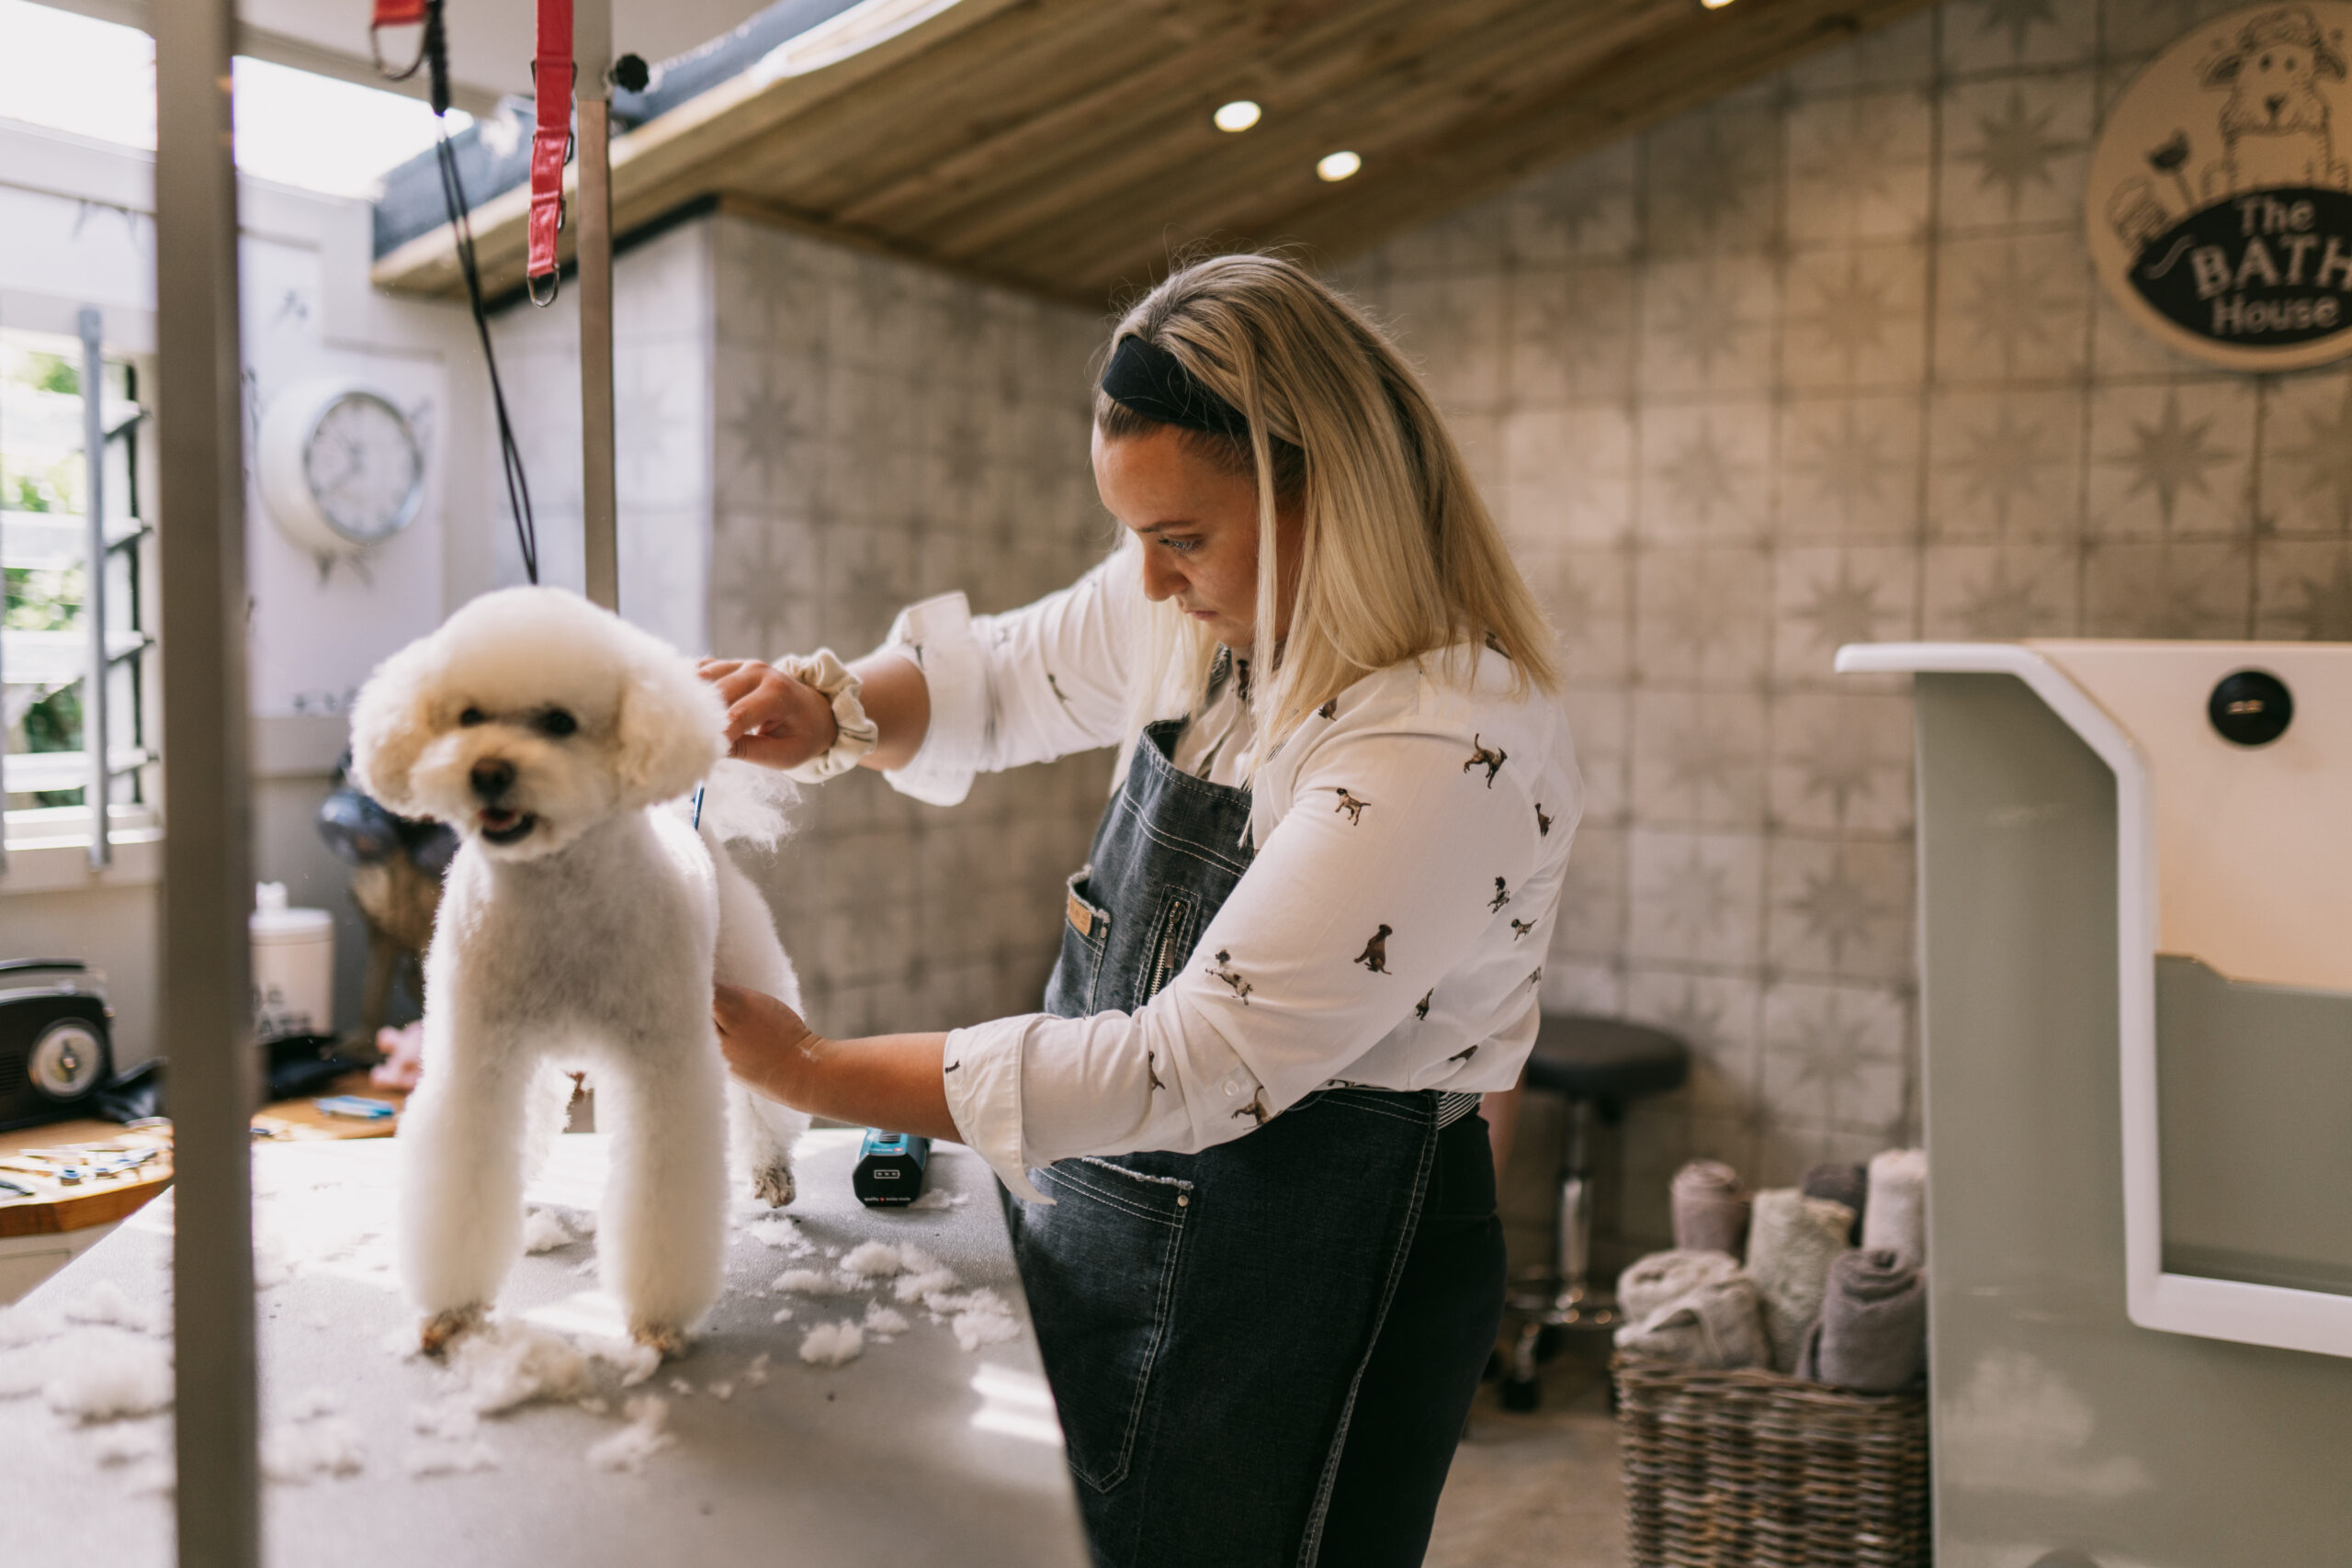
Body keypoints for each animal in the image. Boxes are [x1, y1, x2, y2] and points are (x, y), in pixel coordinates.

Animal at [349, 587, 809, 1356]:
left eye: (560, 722)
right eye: (467, 717)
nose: (488, 771)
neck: (556, 897)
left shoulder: (663, 1066)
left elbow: (663, 1193)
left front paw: (658, 1321)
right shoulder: (478, 1058)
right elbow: (463, 1175)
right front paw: (455, 1308)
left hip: (745, 970)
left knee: (765, 1105)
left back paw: (772, 1169)